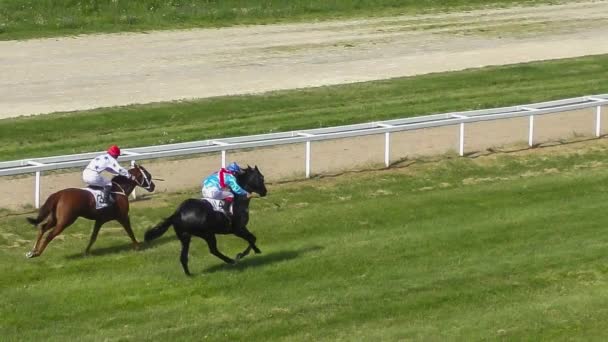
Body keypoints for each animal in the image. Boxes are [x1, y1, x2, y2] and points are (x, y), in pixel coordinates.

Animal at [25, 164, 156, 258]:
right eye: (148, 175)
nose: (153, 186)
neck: (119, 190)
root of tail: (59, 194)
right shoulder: (123, 216)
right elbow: (130, 231)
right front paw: (137, 246)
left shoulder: (100, 220)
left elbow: (93, 236)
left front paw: (86, 252)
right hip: (65, 220)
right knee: (50, 234)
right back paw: (37, 253)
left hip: (55, 218)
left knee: (42, 228)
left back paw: (32, 251)